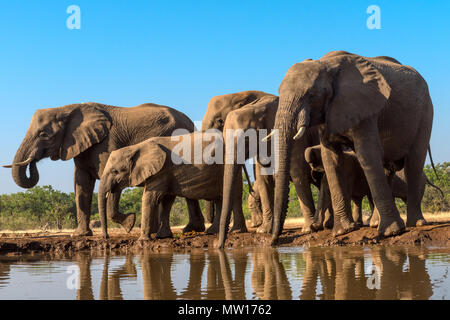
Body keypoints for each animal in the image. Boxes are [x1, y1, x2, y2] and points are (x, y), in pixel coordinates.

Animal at [4, 102, 205, 235]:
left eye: (44, 134)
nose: (33, 160)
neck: (67, 108)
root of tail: (190, 122)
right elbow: (81, 185)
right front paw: (81, 235)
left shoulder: (108, 144)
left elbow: (111, 184)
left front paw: (129, 224)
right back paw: (187, 230)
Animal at [98, 131, 244, 240]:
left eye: (115, 171)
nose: (106, 237)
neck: (136, 147)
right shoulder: (167, 173)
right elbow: (166, 201)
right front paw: (163, 237)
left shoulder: (161, 171)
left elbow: (150, 198)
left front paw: (143, 241)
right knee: (220, 200)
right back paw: (212, 232)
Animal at [268, 50, 434, 242]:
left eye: (311, 94)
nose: (273, 241)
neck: (325, 64)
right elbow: (331, 159)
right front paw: (343, 232)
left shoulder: (364, 107)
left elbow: (367, 154)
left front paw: (391, 233)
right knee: (388, 169)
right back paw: (376, 224)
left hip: (425, 112)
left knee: (414, 163)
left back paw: (416, 223)